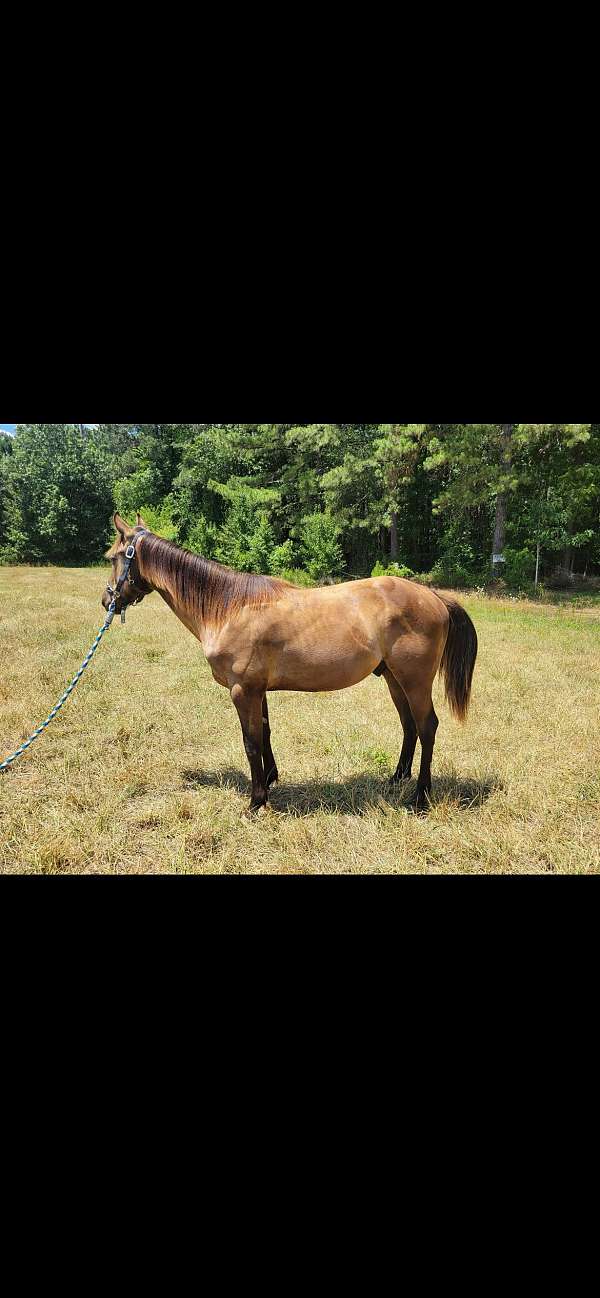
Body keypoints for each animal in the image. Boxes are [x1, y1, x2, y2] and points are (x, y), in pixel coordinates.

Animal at [103, 514, 478, 813]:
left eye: (114, 557)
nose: (107, 600)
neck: (229, 608)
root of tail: (434, 597)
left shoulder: (243, 691)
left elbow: (251, 741)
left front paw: (256, 801)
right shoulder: (257, 690)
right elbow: (265, 732)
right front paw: (270, 780)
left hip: (415, 681)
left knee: (427, 727)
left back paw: (420, 797)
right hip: (394, 679)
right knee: (409, 726)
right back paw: (397, 778)